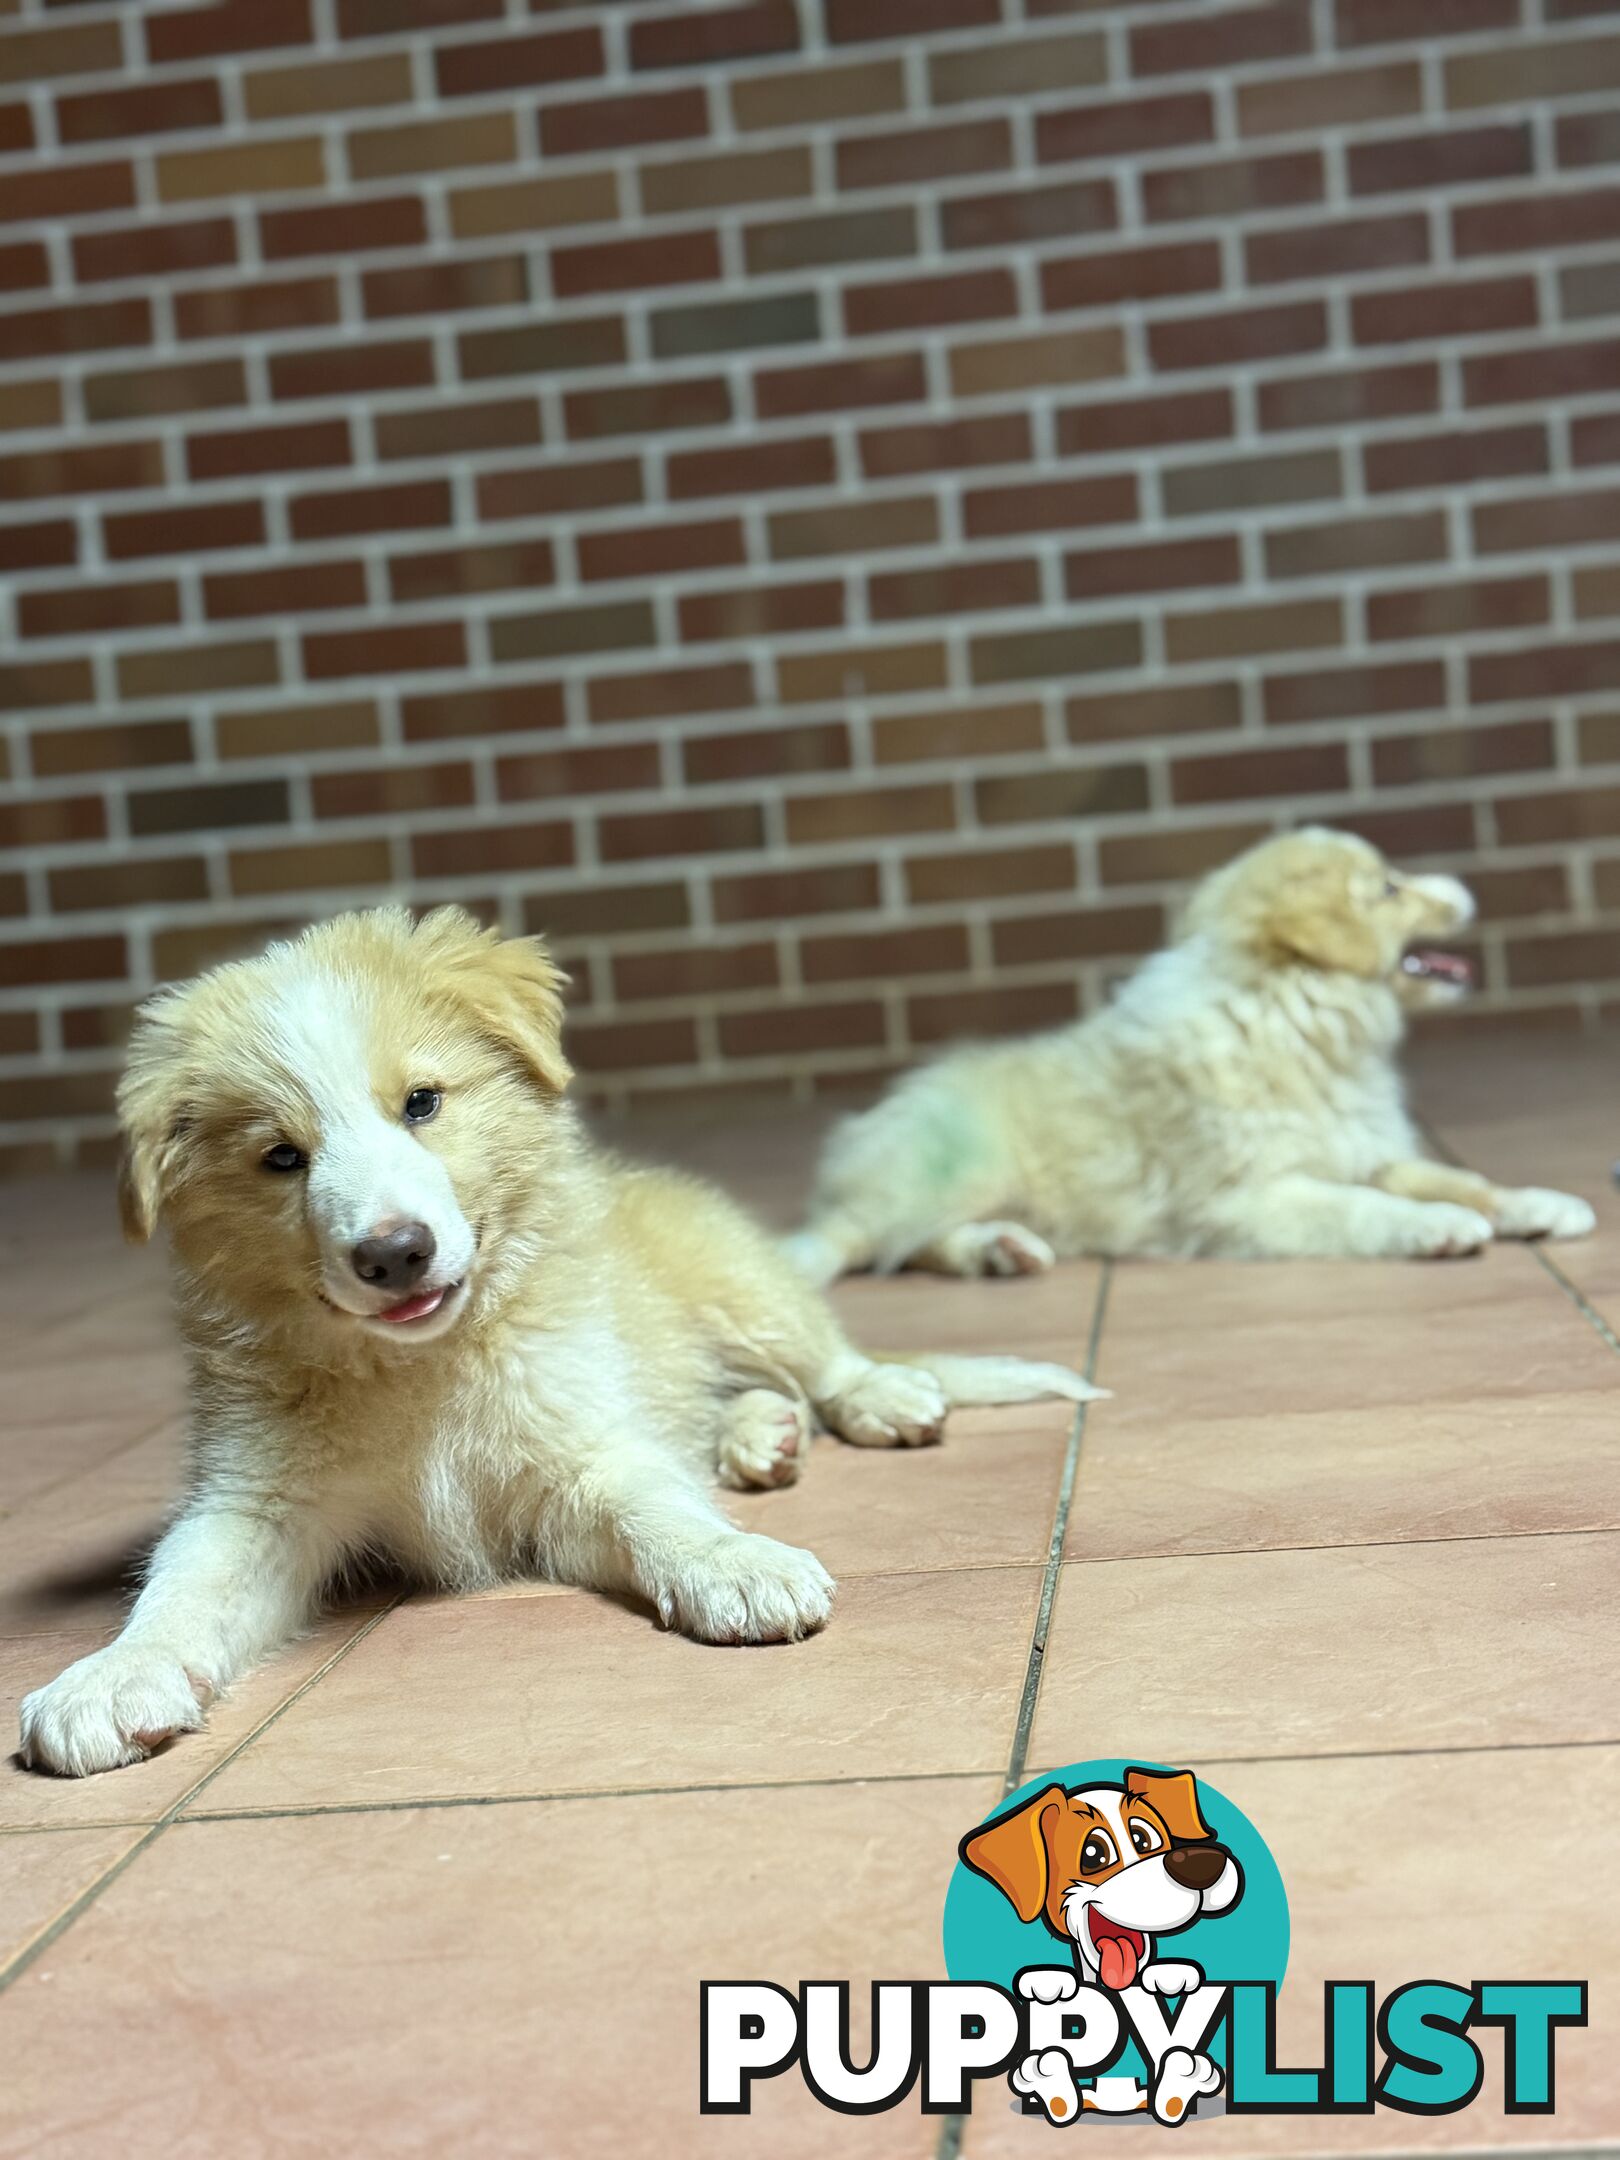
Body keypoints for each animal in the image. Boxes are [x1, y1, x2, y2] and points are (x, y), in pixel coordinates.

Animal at [15, 902, 1105, 1779]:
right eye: (282, 1158)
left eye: (422, 1102)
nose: (395, 1254)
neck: (422, 1366)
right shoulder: (258, 1503)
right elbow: (182, 1586)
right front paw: (110, 1677)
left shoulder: (581, 1447)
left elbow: (655, 1506)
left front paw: (734, 1566)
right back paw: (761, 1438)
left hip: (735, 1278)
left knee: (820, 1361)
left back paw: (871, 1399)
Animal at [794, 816, 1607, 1270]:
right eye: (1387, 889)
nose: (1469, 887)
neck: (1294, 1022)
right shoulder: (1250, 1196)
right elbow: (1357, 1206)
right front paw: (1436, 1227)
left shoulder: (1367, 1148)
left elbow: (1453, 1176)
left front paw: (1538, 1203)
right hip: (958, 1170)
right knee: (868, 1241)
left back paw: (1006, 1250)